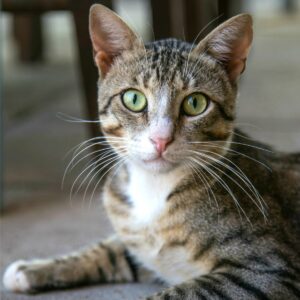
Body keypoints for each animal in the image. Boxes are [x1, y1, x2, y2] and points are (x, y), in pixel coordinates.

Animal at [2, 3, 300, 298]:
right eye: (133, 98)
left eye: (195, 103)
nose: (161, 139)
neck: (154, 188)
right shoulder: (137, 243)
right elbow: (111, 251)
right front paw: (34, 269)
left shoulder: (267, 269)